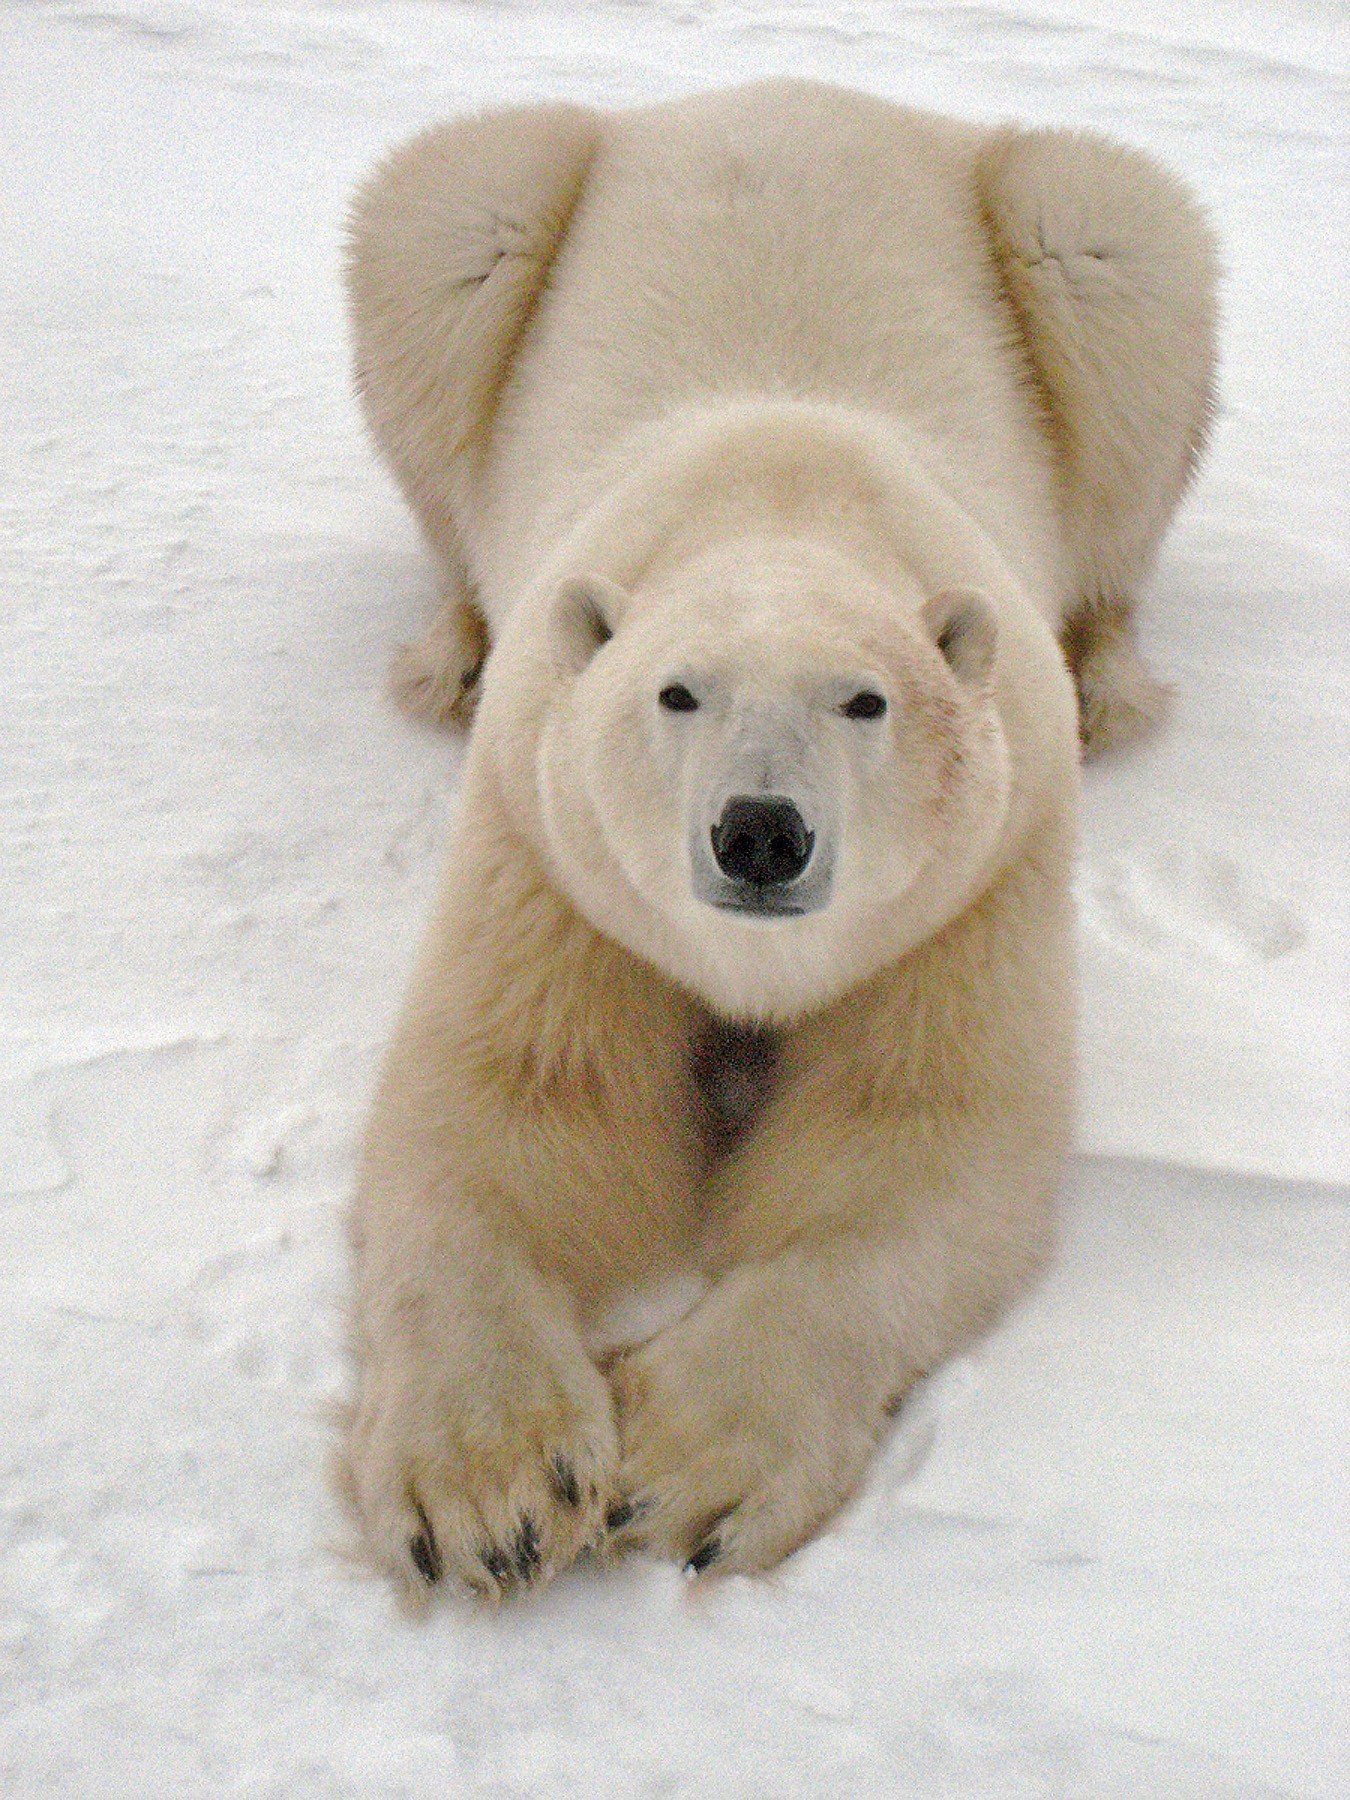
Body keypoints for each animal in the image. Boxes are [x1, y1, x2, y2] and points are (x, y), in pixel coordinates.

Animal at [333, 79, 1219, 1602]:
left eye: (864, 701)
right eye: (674, 692)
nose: (759, 833)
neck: (782, 491)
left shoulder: (975, 879)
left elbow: (909, 1143)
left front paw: (685, 1469)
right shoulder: (550, 850)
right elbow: (513, 1108)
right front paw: (489, 1492)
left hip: (1071, 246)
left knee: (1115, 262)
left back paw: (1112, 674)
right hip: (500, 215)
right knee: (446, 233)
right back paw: (446, 653)